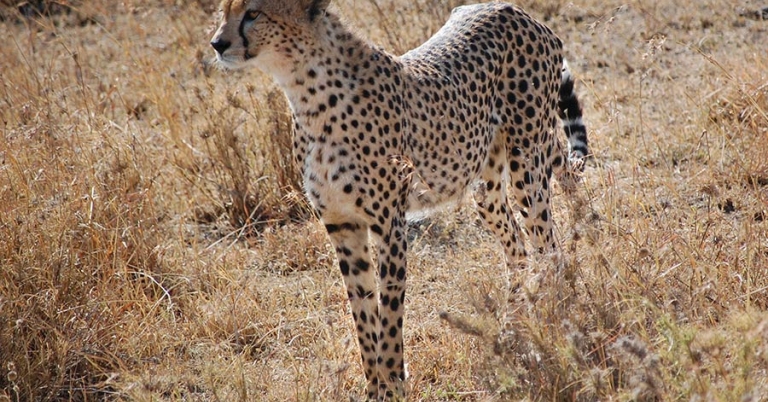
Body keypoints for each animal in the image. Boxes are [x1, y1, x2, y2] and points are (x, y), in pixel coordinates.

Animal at [210, 0, 588, 400]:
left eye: (253, 13)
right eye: (224, 11)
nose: (218, 43)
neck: (306, 90)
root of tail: (512, 10)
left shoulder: (389, 223)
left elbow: (390, 313)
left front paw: (393, 385)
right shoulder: (342, 225)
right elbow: (363, 313)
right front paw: (373, 387)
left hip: (526, 168)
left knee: (549, 247)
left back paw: (554, 324)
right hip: (485, 186)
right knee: (517, 246)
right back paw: (510, 329)